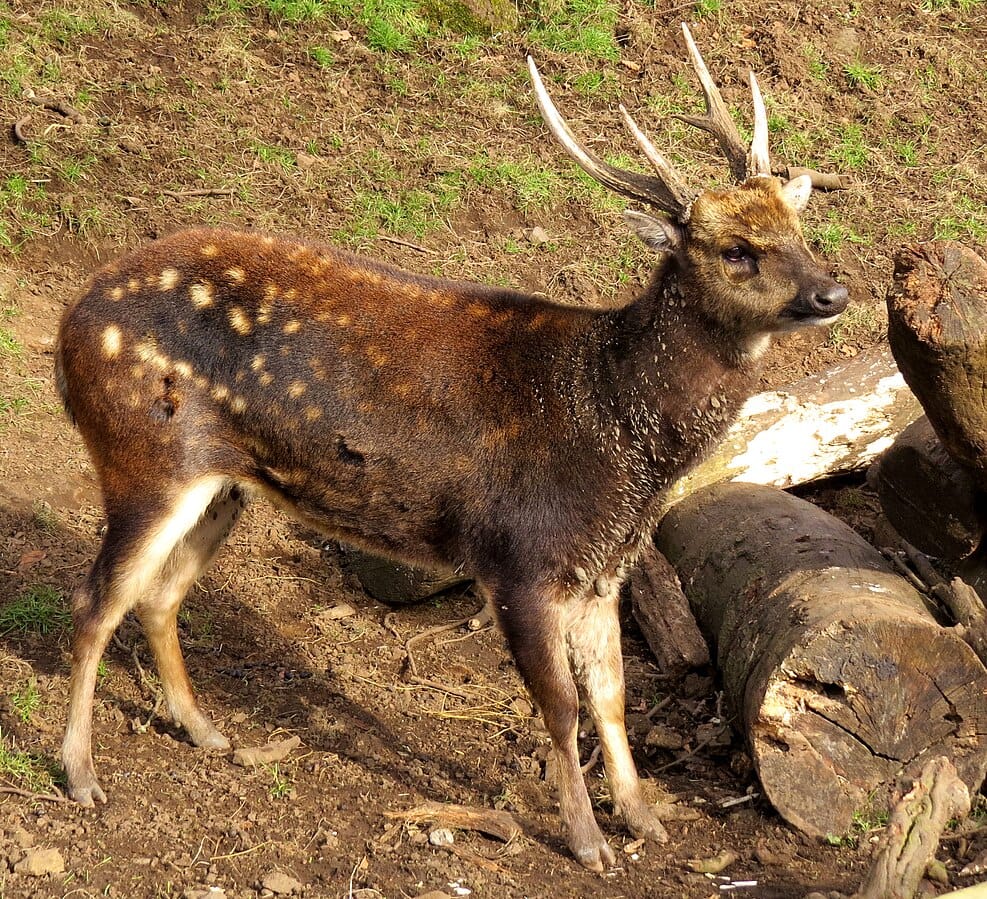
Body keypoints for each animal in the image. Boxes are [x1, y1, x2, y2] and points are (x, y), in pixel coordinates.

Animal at [56, 24, 847, 870]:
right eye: (736, 249)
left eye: (797, 229)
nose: (832, 291)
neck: (617, 430)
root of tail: (69, 328)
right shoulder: (518, 557)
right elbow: (560, 706)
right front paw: (586, 841)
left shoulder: (602, 568)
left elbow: (612, 694)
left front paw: (642, 817)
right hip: (143, 455)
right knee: (97, 598)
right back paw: (81, 773)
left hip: (222, 483)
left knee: (159, 593)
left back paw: (205, 730)